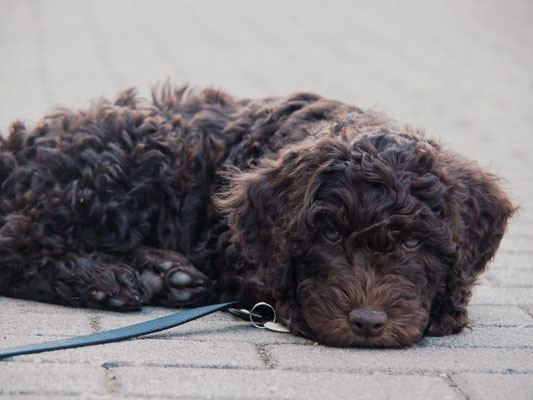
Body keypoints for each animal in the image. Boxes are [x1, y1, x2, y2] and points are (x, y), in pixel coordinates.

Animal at [1, 86, 516, 348]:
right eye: (330, 235)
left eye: (412, 243)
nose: (368, 322)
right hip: (125, 168)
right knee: (17, 241)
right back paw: (103, 280)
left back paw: (167, 274)